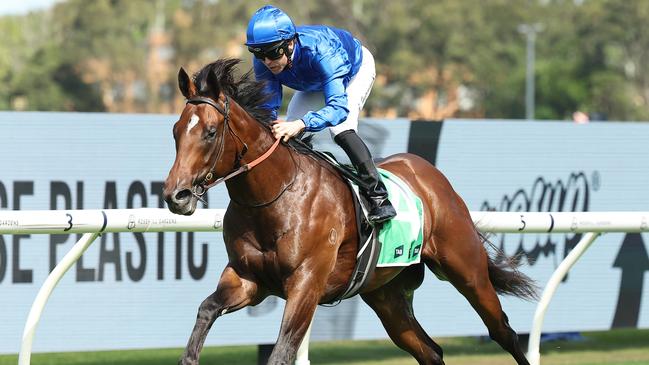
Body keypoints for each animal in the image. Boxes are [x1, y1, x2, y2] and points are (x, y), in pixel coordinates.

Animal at [163, 58, 536, 362]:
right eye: (176, 131)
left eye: (210, 132)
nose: (175, 195)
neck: (275, 197)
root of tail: (430, 174)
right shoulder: (248, 280)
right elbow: (205, 312)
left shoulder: (306, 285)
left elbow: (282, 352)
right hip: (386, 295)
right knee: (430, 351)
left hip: (467, 270)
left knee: (504, 332)